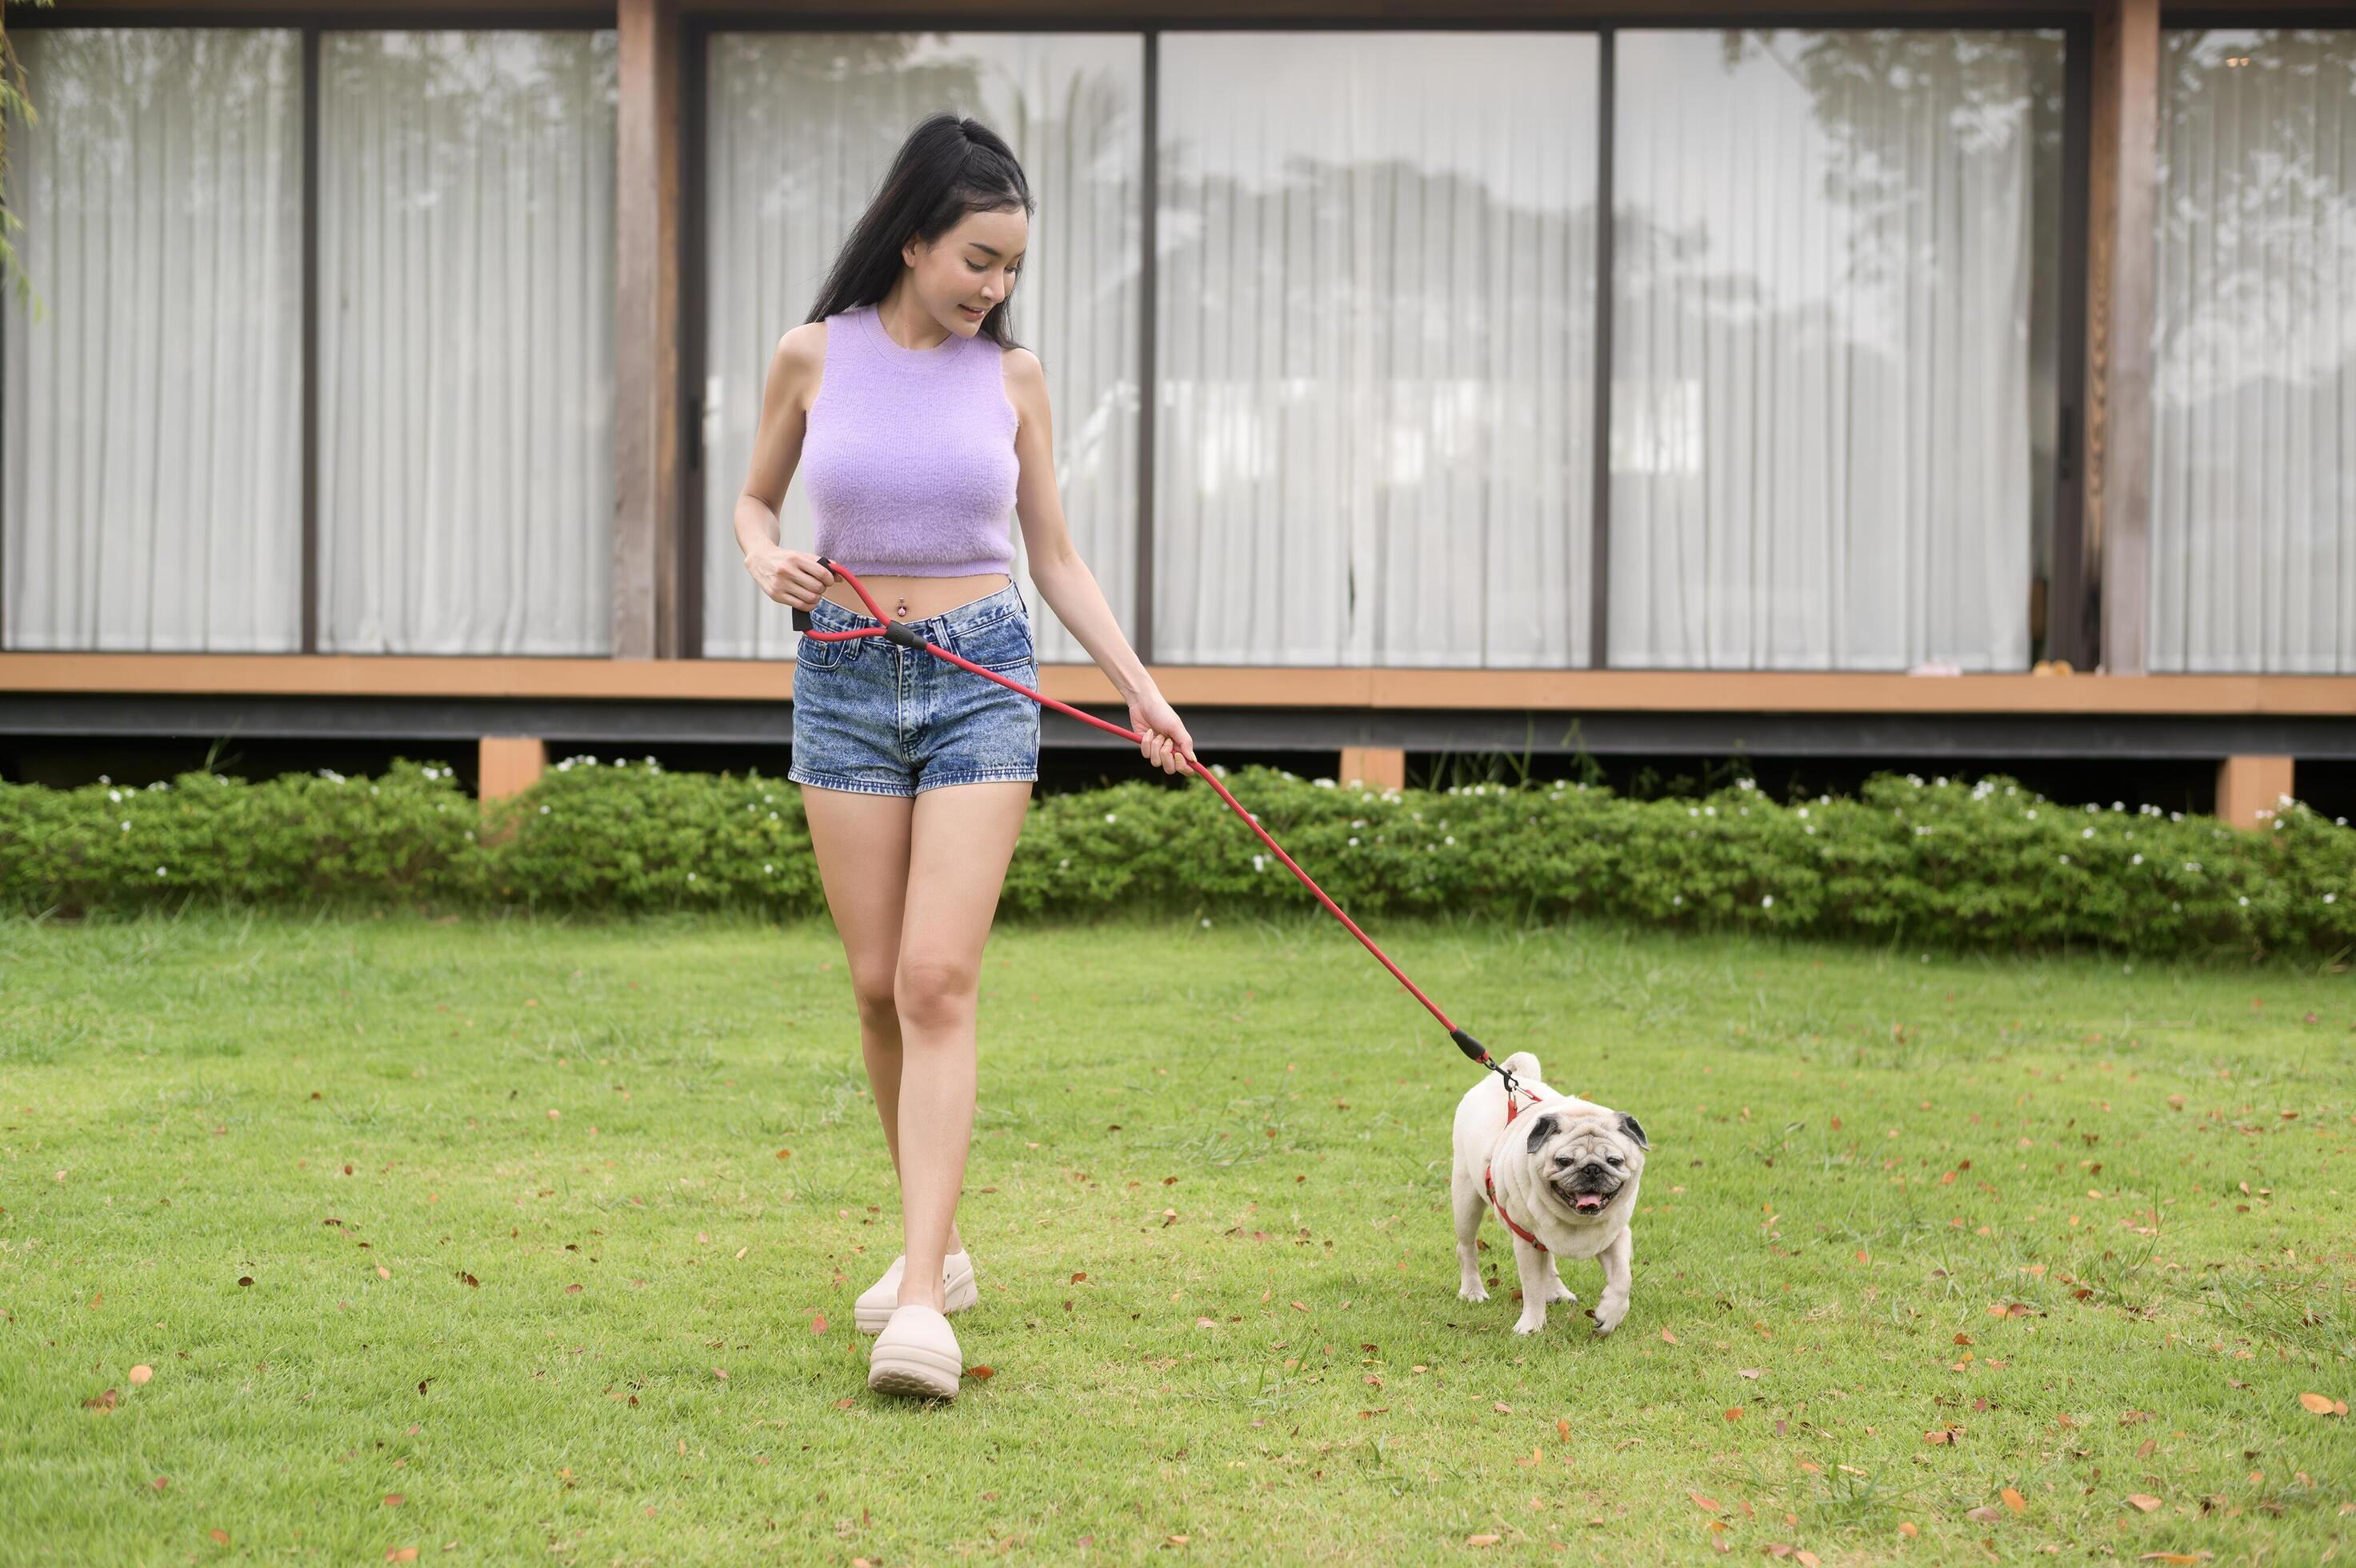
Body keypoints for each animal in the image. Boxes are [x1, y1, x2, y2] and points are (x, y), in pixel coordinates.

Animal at [1442, 1050, 1649, 1327]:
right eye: (1564, 1161)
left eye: (1614, 1161)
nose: (1592, 1169)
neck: (1575, 1221)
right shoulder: (1525, 1241)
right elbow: (1532, 1287)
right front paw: (1531, 1326)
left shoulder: (1615, 1237)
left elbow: (1623, 1279)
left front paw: (1610, 1315)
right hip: (1466, 1200)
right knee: (1466, 1247)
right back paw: (1473, 1291)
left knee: (1548, 1258)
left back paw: (1557, 1291)